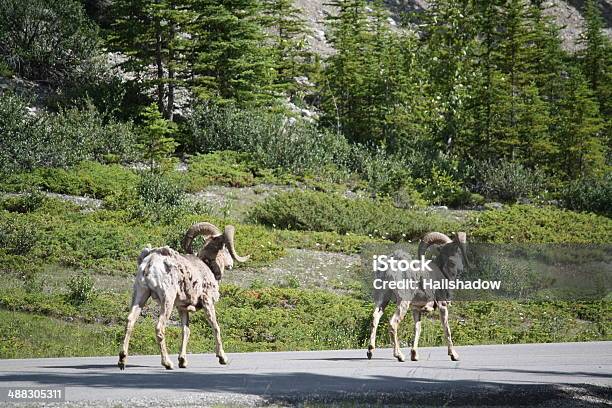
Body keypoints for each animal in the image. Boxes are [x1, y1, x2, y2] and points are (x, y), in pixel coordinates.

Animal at [119, 222, 249, 372]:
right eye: (226, 249)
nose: (230, 265)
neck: (208, 267)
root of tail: (151, 262)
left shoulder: (182, 308)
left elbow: (185, 331)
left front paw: (183, 361)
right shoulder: (208, 302)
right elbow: (216, 327)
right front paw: (222, 358)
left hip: (141, 295)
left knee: (130, 322)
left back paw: (122, 361)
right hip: (167, 300)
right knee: (159, 328)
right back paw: (167, 363)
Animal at [366, 231, 466, 362]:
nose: (457, 267)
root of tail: (389, 269)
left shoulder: (416, 309)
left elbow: (417, 329)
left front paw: (414, 355)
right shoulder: (442, 305)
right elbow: (447, 329)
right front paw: (454, 355)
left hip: (382, 299)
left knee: (375, 318)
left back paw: (370, 352)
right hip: (402, 302)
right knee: (393, 323)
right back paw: (399, 355)